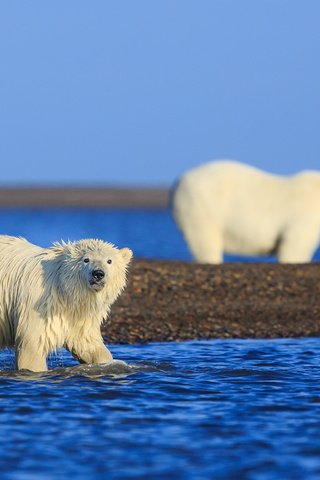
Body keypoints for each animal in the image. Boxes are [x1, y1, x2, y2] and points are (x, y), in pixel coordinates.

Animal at [0, 235, 132, 372]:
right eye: (86, 260)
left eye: (109, 261)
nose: (98, 274)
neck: (64, 289)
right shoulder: (43, 305)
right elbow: (32, 348)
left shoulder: (79, 314)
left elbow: (86, 342)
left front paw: (111, 364)